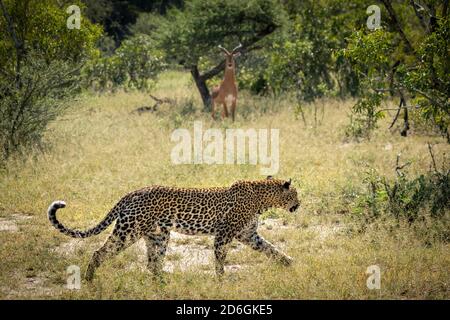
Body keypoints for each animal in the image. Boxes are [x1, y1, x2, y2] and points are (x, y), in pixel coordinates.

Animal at [47, 176, 300, 282]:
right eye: (295, 194)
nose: (299, 204)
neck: (263, 199)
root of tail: (132, 193)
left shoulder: (248, 235)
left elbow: (272, 249)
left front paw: (290, 264)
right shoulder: (224, 234)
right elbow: (219, 258)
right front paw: (221, 279)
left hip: (158, 236)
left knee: (152, 263)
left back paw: (164, 281)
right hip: (128, 231)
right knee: (100, 252)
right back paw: (89, 279)